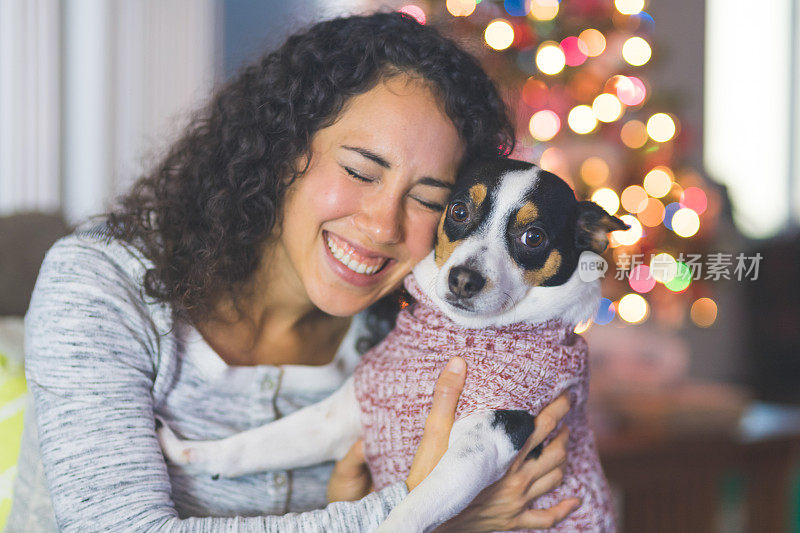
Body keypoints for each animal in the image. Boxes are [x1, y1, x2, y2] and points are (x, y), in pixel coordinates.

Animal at [158, 157, 624, 528]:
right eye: (459, 210)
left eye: (534, 237)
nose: (463, 279)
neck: (459, 331)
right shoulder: (344, 415)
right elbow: (256, 445)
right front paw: (189, 453)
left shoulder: (494, 434)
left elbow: (411, 509)